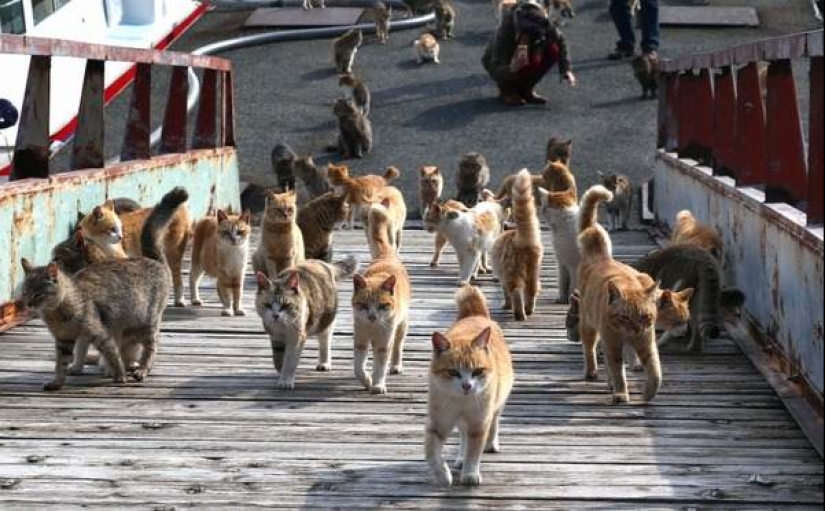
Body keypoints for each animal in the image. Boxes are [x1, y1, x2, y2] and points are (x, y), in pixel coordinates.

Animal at [19, 188, 187, 392]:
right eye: (25, 293)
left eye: (57, 258)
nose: (28, 304)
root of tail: (154, 260)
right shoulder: (72, 336)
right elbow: (75, 353)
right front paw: (69, 372)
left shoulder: (105, 327)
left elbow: (110, 350)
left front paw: (114, 371)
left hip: (148, 320)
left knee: (150, 347)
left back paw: (139, 369)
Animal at [254, 258, 358, 390]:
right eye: (267, 305)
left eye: (286, 305)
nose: (275, 315)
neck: (283, 327)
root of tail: (323, 263)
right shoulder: (275, 337)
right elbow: (278, 357)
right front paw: (280, 371)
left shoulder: (297, 337)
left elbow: (290, 360)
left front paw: (286, 380)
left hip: (326, 322)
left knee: (325, 342)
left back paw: (324, 363)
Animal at [350, 205, 412, 396]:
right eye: (363, 305)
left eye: (382, 305)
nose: (372, 316)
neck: (373, 328)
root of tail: (386, 256)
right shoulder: (360, 339)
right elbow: (358, 368)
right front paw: (367, 381)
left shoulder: (384, 343)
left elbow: (380, 366)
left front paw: (377, 384)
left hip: (402, 325)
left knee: (398, 346)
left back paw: (396, 366)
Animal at [428, 286, 512, 486]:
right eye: (452, 372)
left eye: (478, 371)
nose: (467, 385)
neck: (461, 402)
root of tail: (475, 314)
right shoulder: (438, 423)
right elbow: (431, 453)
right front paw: (442, 475)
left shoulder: (479, 423)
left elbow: (474, 452)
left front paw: (470, 474)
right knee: (463, 436)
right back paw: (460, 458)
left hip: (496, 405)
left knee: (494, 422)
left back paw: (491, 444)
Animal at [492, 170, 544, 322]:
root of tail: (521, 238)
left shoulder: (503, 278)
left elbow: (506, 294)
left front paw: (506, 306)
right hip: (533, 272)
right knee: (532, 292)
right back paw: (529, 310)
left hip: (512, 271)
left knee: (515, 292)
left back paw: (520, 314)